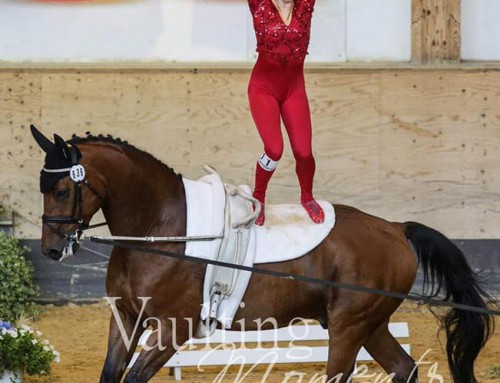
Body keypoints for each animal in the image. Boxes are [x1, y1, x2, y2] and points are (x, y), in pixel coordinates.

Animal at [32, 127, 496, 383]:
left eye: (62, 190)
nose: (51, 250)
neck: (161, 229)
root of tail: (395, 228)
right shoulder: (126, 318)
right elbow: (110, 374)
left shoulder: (173, 329)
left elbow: (133, 379)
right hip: (372, 325)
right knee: (405, 369)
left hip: (349, 326)